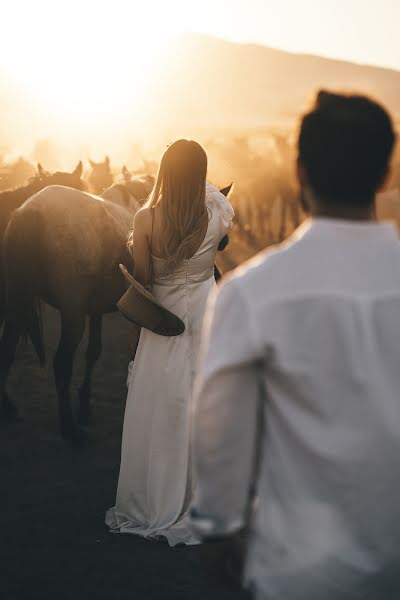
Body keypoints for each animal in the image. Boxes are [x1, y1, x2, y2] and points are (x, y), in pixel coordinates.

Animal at [0, 183, 233, 440]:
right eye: (222, 243)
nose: (217, 277)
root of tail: (31, 213)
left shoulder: (95, 310)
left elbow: (93, 351)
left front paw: (85, 406)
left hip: (17, 301)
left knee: (7, 348)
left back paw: (8, 407)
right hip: (71, 315)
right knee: (61, 363)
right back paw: (69, 428)